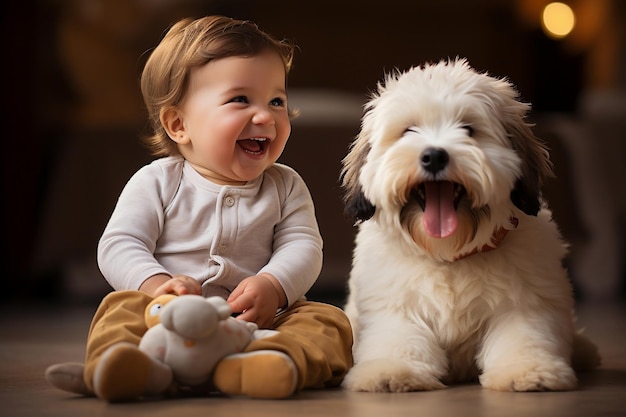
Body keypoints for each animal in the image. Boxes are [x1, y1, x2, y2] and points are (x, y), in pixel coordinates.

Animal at [342, 59, 600, 394]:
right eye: (408, 131)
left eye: (468, 129)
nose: (434, 156)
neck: (450, 254)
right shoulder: (394, 306)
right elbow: (398, 337)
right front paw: (392, 371)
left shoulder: (524, 302)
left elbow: (523, 335)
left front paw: (528, 370)